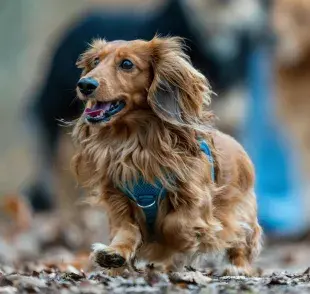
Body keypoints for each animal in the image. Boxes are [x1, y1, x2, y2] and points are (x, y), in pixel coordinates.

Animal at [72, 36, 262, 276]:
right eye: (96, 61)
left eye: (126, 64)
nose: (85, 84)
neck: (136, 145)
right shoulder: (117, 198)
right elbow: (127, 229)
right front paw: (115, 253)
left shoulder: (195, 198)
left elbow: (174, 224)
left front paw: (172, 245)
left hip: (241, 212)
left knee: (240, 240)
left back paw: (235, 267)